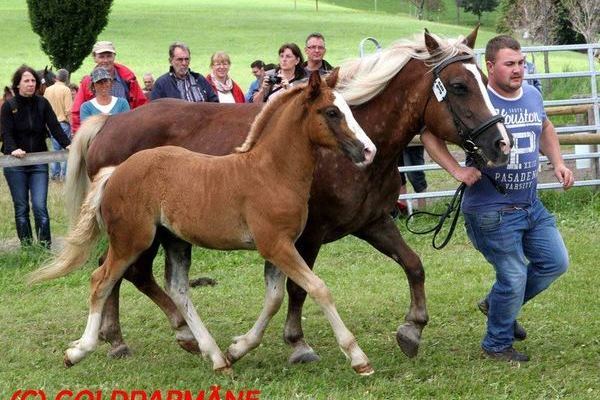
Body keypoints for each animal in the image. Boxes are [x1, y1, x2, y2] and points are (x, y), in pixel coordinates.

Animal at [31, 72, 376, 376]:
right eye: (332, 111)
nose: (369, 150)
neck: (271, 171)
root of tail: (116, 171)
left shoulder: (281, 246)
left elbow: (275, 298)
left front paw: (238, 348)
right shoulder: (275, 245)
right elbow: (318, 289)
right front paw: (358, 358)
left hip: (174, 240)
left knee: (177, 288)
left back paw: (215, 355)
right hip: (132, 240)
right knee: (102, 280)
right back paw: (80, 350)